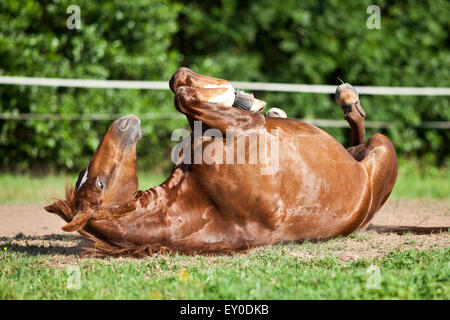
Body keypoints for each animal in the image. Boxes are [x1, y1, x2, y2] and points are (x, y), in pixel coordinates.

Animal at [44, 69, 398, 256]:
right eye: (99, 183)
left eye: (88, 176)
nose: (123, 123)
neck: (200, 202)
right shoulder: (246, 129)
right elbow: (183, 96)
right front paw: (238, 97)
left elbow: (179, 84)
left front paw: (240, 96)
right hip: (382, 147)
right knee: (362, 134)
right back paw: (347, 98)